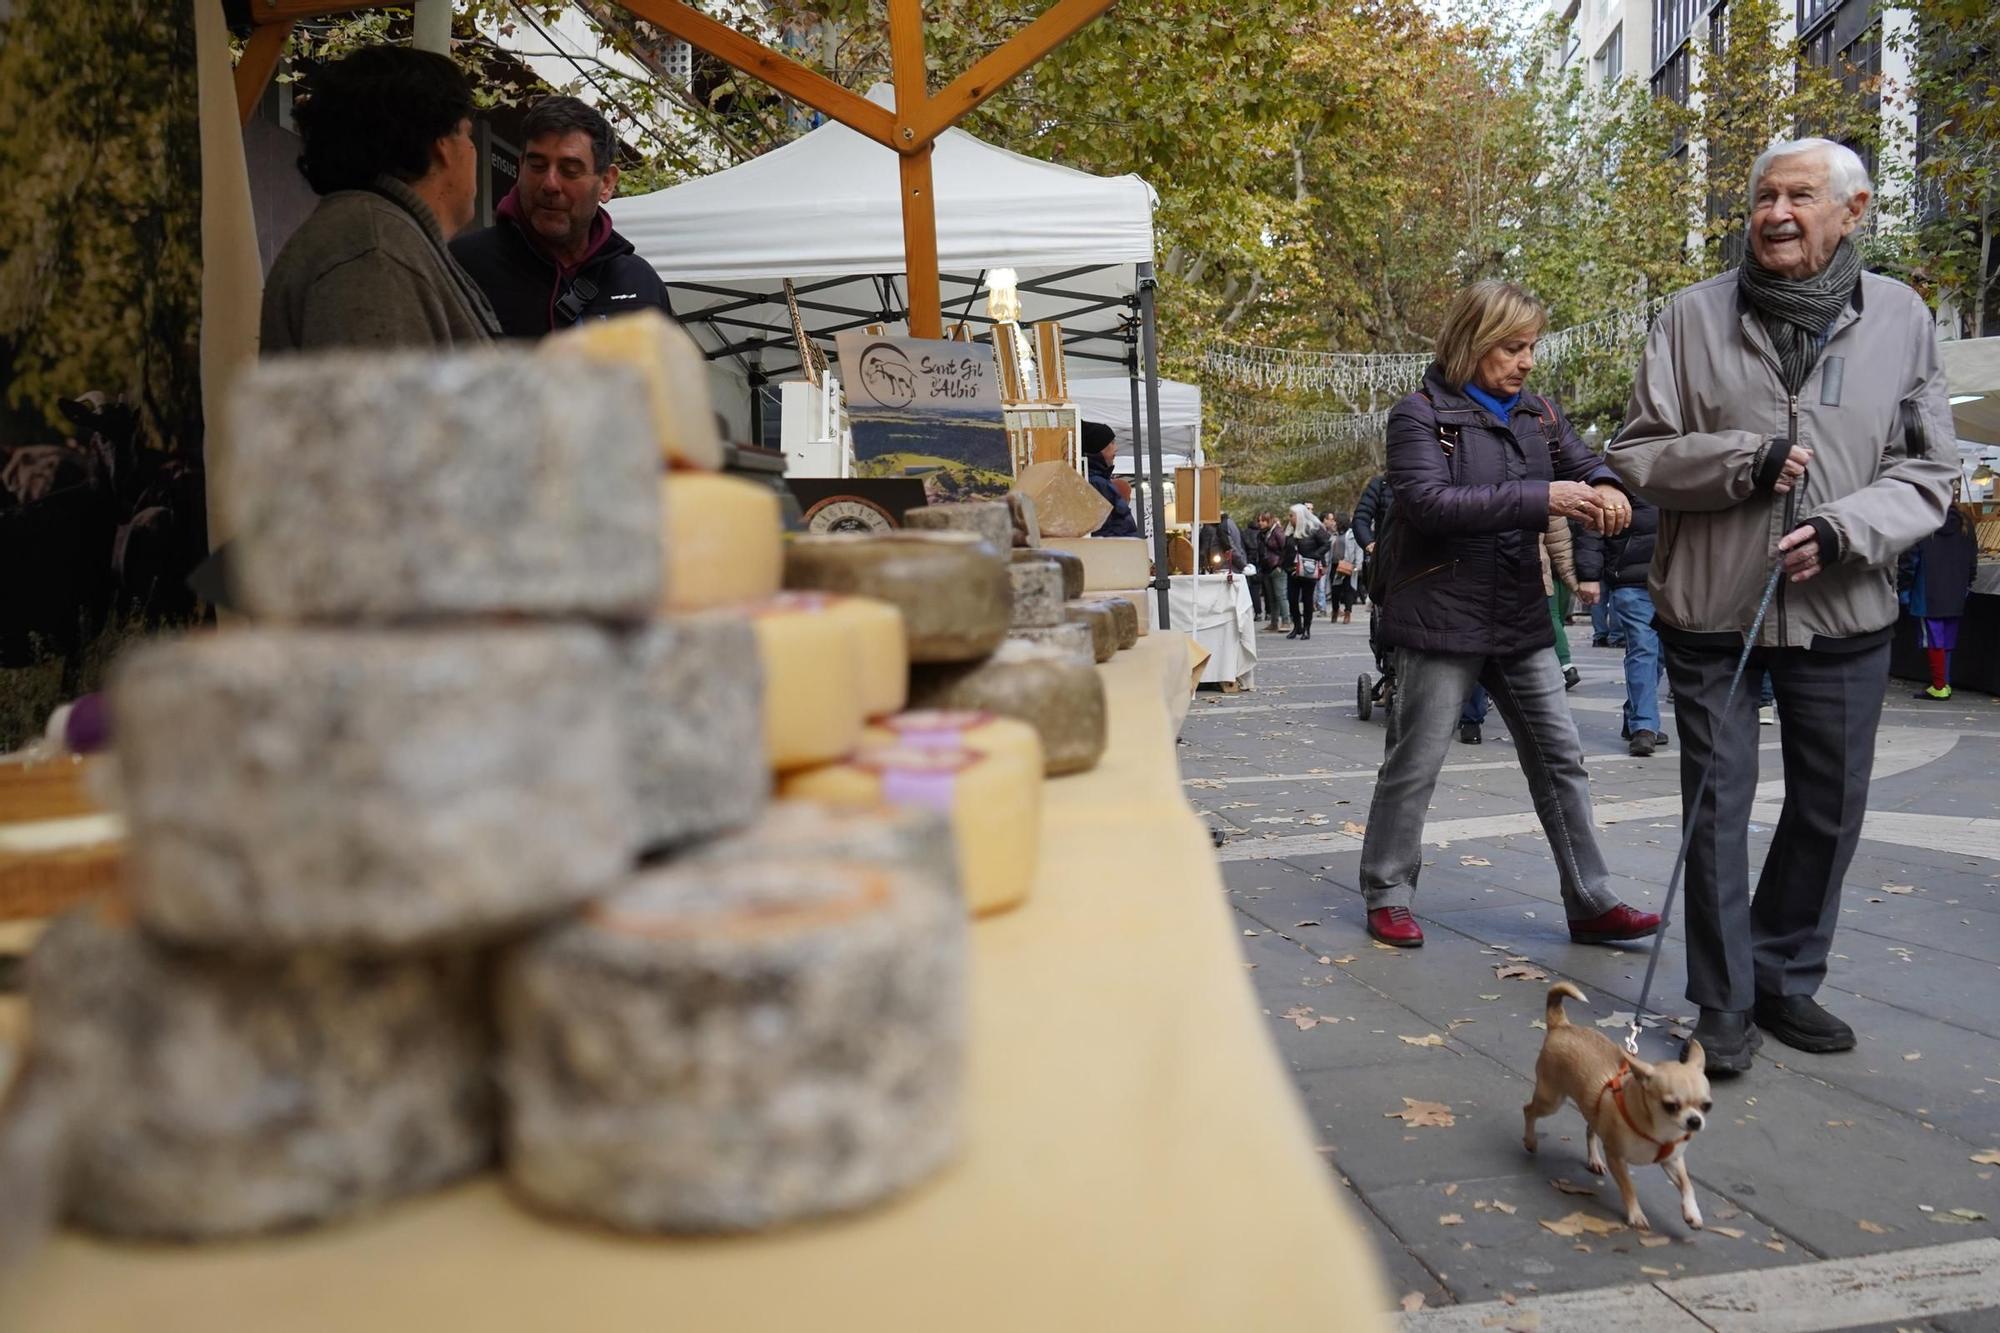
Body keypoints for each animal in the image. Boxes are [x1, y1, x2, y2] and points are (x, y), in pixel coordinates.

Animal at [1520, 976, 1712, 1224]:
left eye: (1707, 1106)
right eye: (1671, 1106)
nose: (1694, 1121)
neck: (1660, 1130)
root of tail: (1562, 1025)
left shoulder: (1673, 1161)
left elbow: (1688, 1185)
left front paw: (1691, 1212)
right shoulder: (1616, 1157)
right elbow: (1628, 1187)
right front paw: (1635, 1214)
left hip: (1591, 1110)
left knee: (1590, 1130)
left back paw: (1594, 1159)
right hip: (1551, 1100)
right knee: (1528, 1110)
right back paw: (1530, 1141)